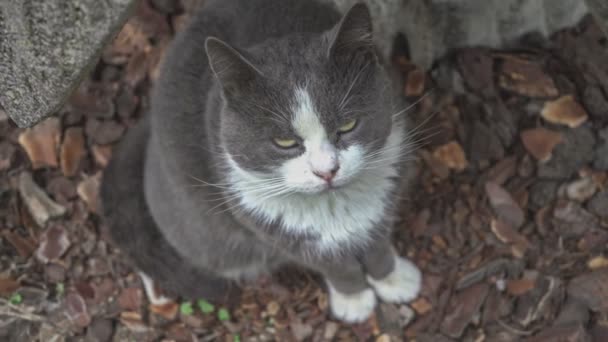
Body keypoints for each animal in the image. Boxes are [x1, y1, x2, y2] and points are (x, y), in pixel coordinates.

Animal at [101, 0, 422, 324]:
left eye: (348, 125)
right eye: (284, 142)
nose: (327, 171)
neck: (335, 205)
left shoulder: (387, 186)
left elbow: (378, 243)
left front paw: (394, 281)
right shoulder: (271, 226)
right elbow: (335, 265)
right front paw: (354, 301)